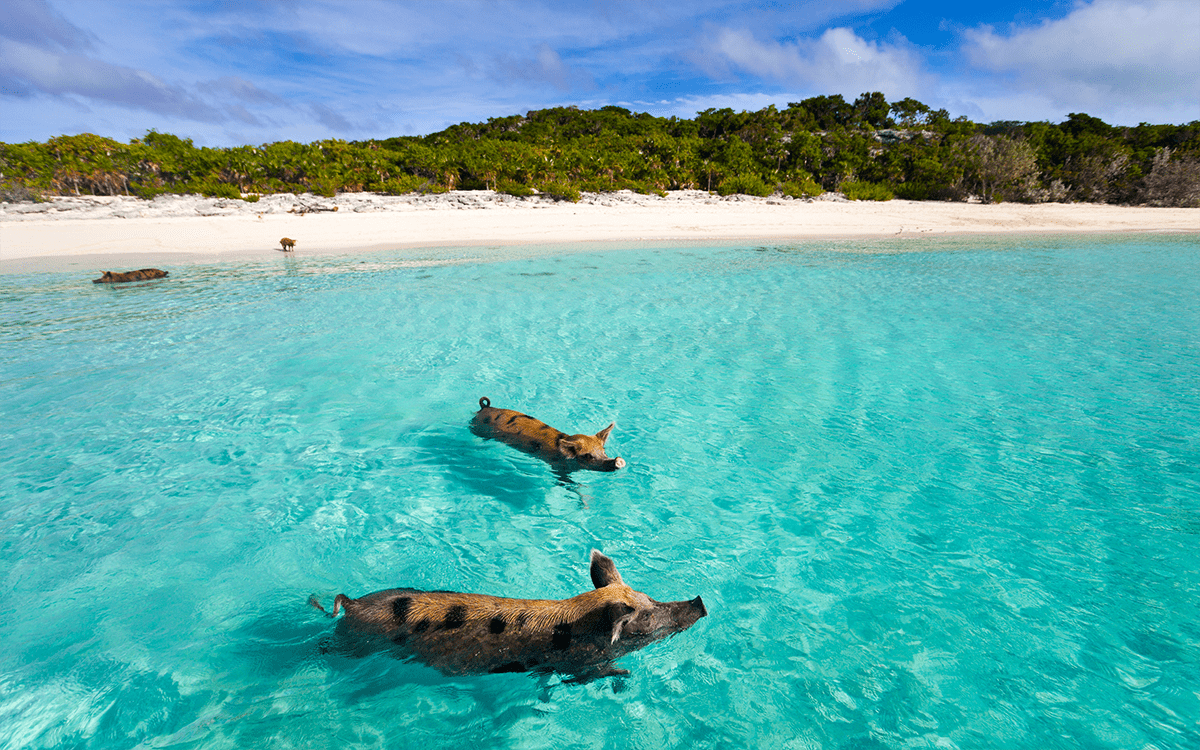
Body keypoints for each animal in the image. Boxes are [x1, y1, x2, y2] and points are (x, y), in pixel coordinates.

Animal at [309, 547, 705, 681]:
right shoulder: (576, 664)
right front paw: (624, 675)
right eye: (646, 617)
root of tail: (352, 602)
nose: (700, 602)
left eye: (650, 597)